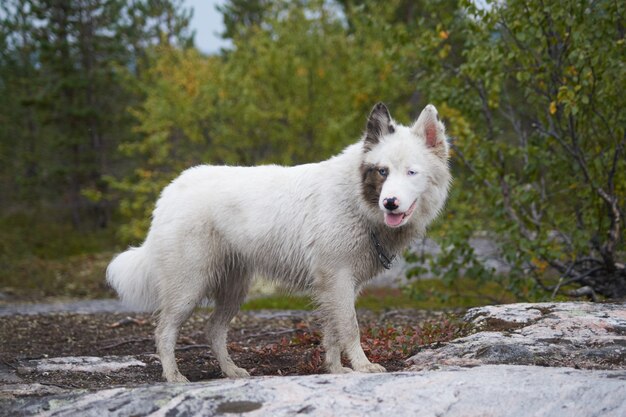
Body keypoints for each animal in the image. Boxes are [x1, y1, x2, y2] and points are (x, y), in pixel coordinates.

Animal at [107, 102, 448, 382]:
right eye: (382, 172)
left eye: (411, 172)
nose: (390, 203)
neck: (356, 200)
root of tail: (171, 191)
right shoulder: (338, 280)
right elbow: (350, 328)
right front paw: (362, 366)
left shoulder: (336, 286)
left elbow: (333, 333)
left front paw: (336, 370)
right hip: (188, 288)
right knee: (165, 331)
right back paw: (174, 377)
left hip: (233, 290)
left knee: (213, 330)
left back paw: (231, 371)